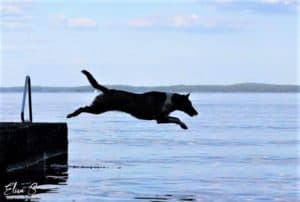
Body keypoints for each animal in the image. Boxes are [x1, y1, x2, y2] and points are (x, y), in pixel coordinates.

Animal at [67, 70, 198, 129]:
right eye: (188, 104)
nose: (196, 113)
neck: (171, 101)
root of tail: (107, 90)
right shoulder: (160, 119)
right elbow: (177, 119)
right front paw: (183, 125)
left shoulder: (163, 117)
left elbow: (176, 118)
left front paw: (183, 125)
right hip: (99, 108)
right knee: (82, 108)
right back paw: (71, 114)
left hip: (98, 108)